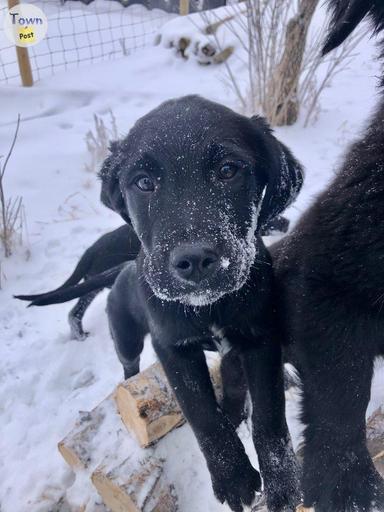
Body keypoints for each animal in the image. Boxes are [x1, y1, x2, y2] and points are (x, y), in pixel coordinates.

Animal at [100, 96, 304, 512]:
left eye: (228, 170)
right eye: (144, 182)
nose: (194, 260)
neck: (209, 307)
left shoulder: (260, 338)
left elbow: (269, 414)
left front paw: (282, 483)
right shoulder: (173, 347)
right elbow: (202, 413)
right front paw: (234, 478)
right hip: (126, 338)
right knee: (129, 367)